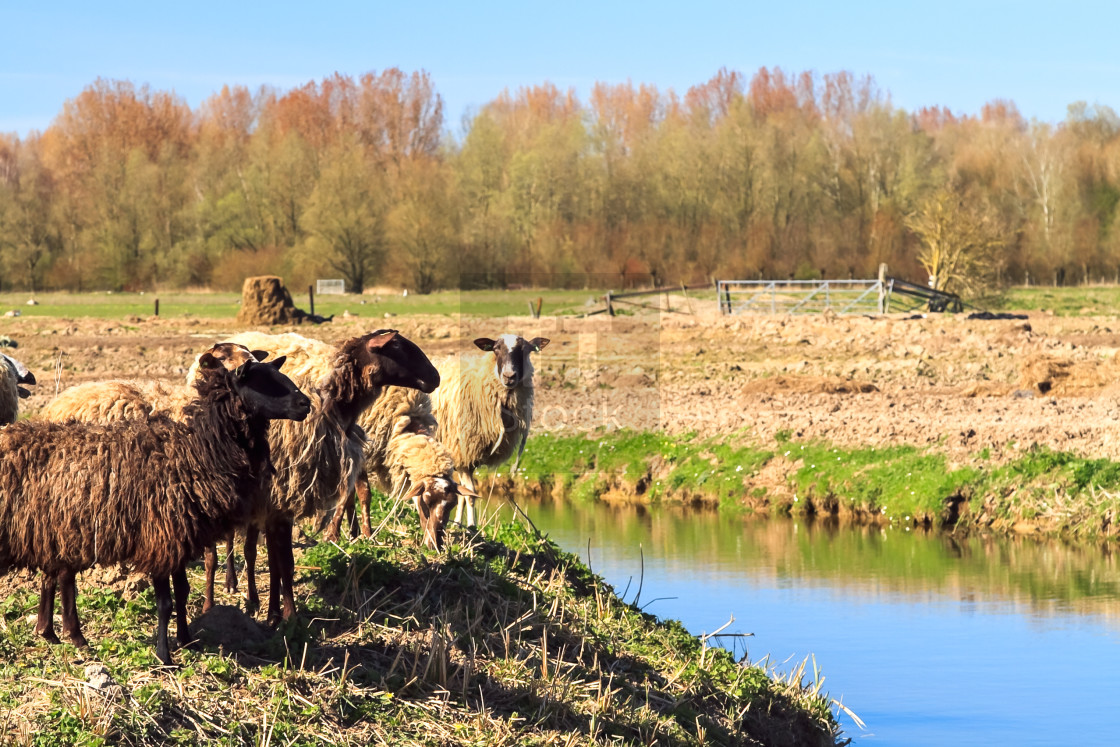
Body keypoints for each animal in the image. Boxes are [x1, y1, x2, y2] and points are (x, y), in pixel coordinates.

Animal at [0, 356, 311, 667]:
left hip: (56, 533)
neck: (197, 451)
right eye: (261, 382)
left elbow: (183, 593)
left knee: (56, 575)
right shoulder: (160, 539)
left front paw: (186, 640)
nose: (305, 403)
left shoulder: (179, 538)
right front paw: (165, 656)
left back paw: (56, 633)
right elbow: (165, 603)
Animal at [219, 329, 441, 622]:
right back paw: (230, 583)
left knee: (250, 547)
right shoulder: (281, 501)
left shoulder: (276, 504)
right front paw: (289, 616)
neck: (332, 412)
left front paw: (274, 613)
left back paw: (252, 596)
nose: (435, 377)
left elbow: (277, 563)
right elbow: (285, 563)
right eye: (397, 347)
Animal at [430, 335, 548, 528]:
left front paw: (458, 524)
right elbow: (470, 493)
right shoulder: (463, 452)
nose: (509, 376)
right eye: (496, 349)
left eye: (526, 349)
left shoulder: (465, 457)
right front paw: (472, 526)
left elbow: (461, 492)